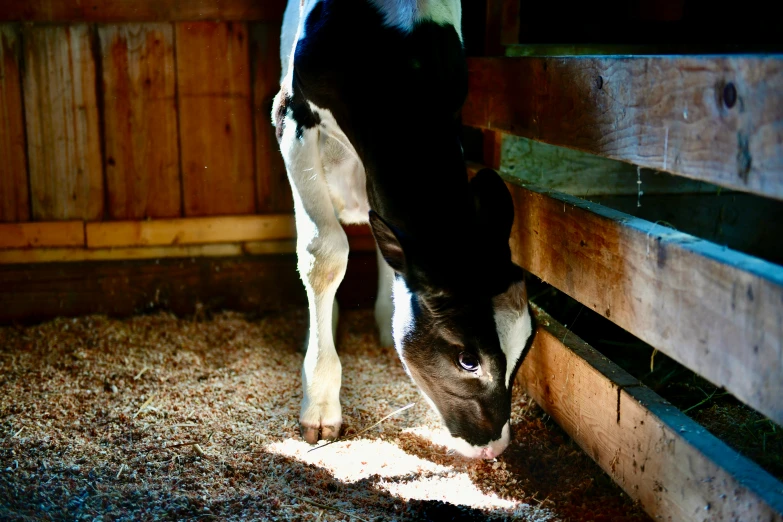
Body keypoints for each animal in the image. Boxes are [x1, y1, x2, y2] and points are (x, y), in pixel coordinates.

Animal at [272, 0, 536, 456]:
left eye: (523, 350)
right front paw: (320, 404)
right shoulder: (292, 113)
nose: (494, 446)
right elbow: (325, 252)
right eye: (468, 360)